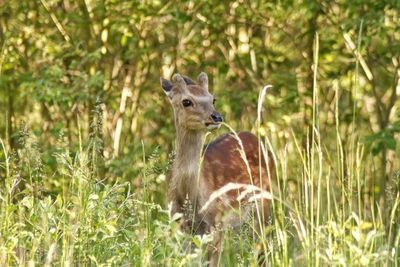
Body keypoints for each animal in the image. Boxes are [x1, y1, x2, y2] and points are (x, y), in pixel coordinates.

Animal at [161, 72, 274, 266]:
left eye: (213, 99)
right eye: (186, 101)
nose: (217, 117)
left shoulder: (216, 222)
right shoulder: (179, 225)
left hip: (264, 204)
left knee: (261, 249)